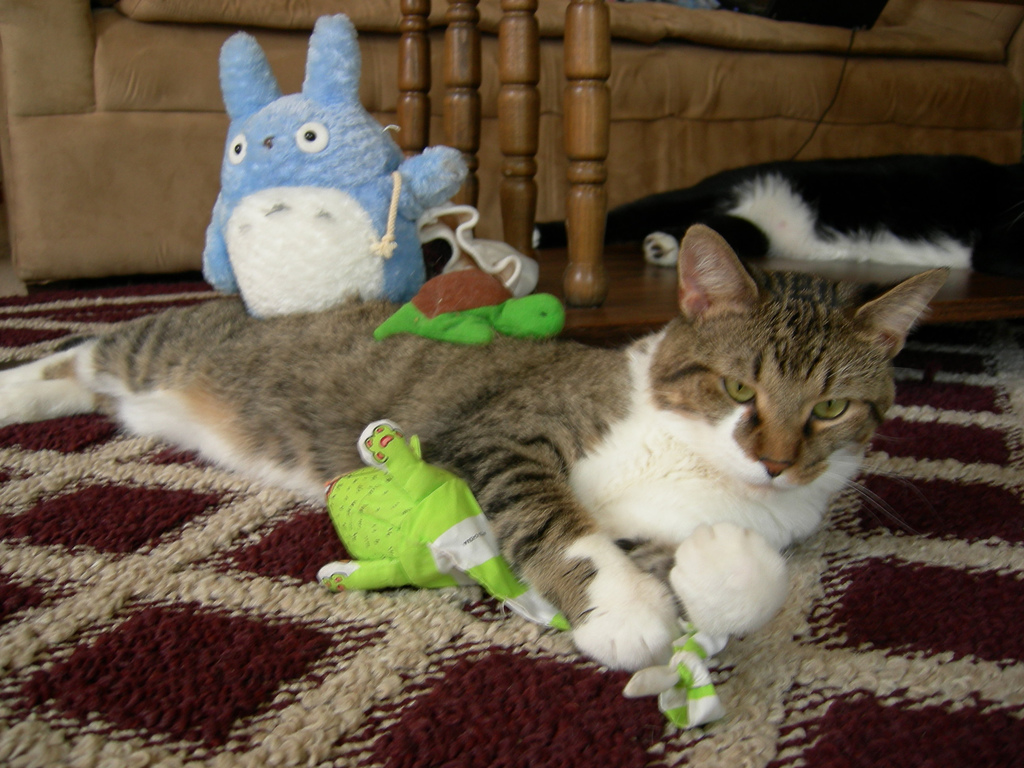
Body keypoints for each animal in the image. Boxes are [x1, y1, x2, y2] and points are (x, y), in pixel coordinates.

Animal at [0, 225, 946, 672]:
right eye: (740, 389)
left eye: (830, 407)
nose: (778, 461)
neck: (695, 460)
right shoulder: (501, 436)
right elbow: (559, 523)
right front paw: (626, 612)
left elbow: (737, 570)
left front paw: (716, 570)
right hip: (165, 346)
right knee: (85, 348)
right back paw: (15, 387)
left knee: (87, 375)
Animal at [536, 154, 1024, 279]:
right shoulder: (999, 240)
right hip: (703, 191)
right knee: (616, 217)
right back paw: (541, 232)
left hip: (756, 233)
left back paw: (665, 244)